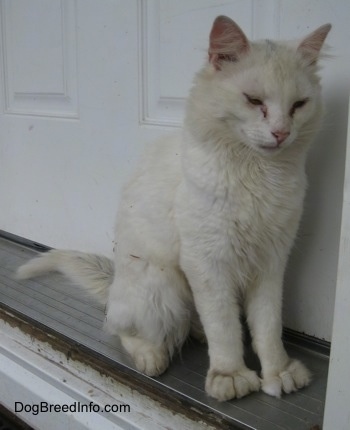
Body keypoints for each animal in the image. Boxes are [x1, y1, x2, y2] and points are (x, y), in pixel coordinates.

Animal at [17, 15, 332, 400]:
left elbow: (267, 327)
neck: (260, 174)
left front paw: (279, 372)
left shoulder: (271, 262)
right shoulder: (207, 263)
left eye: (298, 105)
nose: (281, 133)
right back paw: (152, 357)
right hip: (162, 285)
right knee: (120, 329)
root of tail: (115, 283)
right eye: (254, 100)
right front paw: (231, 375)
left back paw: (195, 335)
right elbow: (224, 327)